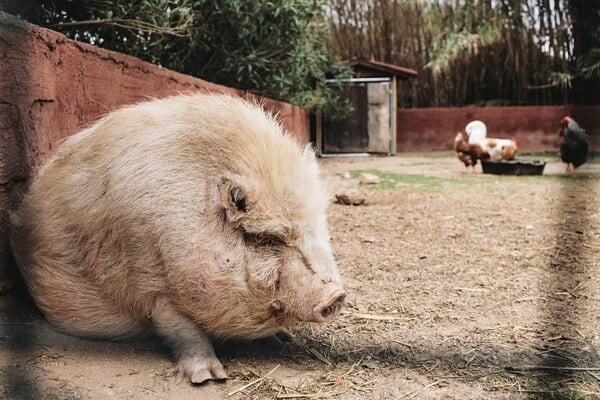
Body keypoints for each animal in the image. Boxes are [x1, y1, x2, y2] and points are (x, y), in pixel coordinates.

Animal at [9, 94, 344, 384]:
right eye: (267, 238)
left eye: (317, 226)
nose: (336, 297)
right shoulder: (151, 280)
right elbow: (184, 330)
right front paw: (209, 378)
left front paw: (284, 337)